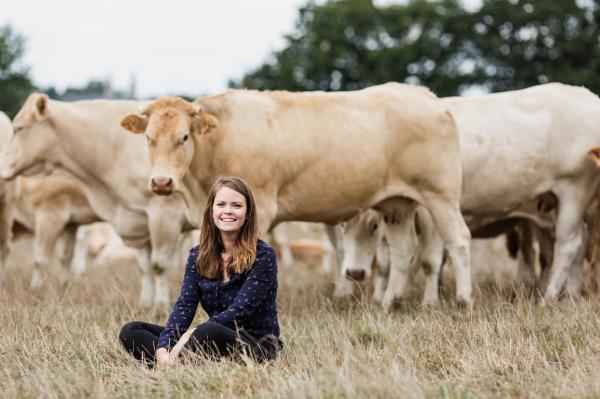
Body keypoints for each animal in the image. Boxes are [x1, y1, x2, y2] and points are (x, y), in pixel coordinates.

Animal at [0, 95, 195, 308]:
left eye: (18, 128)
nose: (1, 167)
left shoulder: (51, 213)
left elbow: (40, 258)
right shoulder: (130, 220)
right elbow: (67, 257)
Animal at [118, 82, 474, 306]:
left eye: (184, 137)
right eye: (148, 138)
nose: (161, 182)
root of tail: (427, 96)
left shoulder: (259, 206)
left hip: (439, 195)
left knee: (458, 240)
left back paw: (463, 300)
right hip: (397, 205)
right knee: (402, 251)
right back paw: (390, 302)